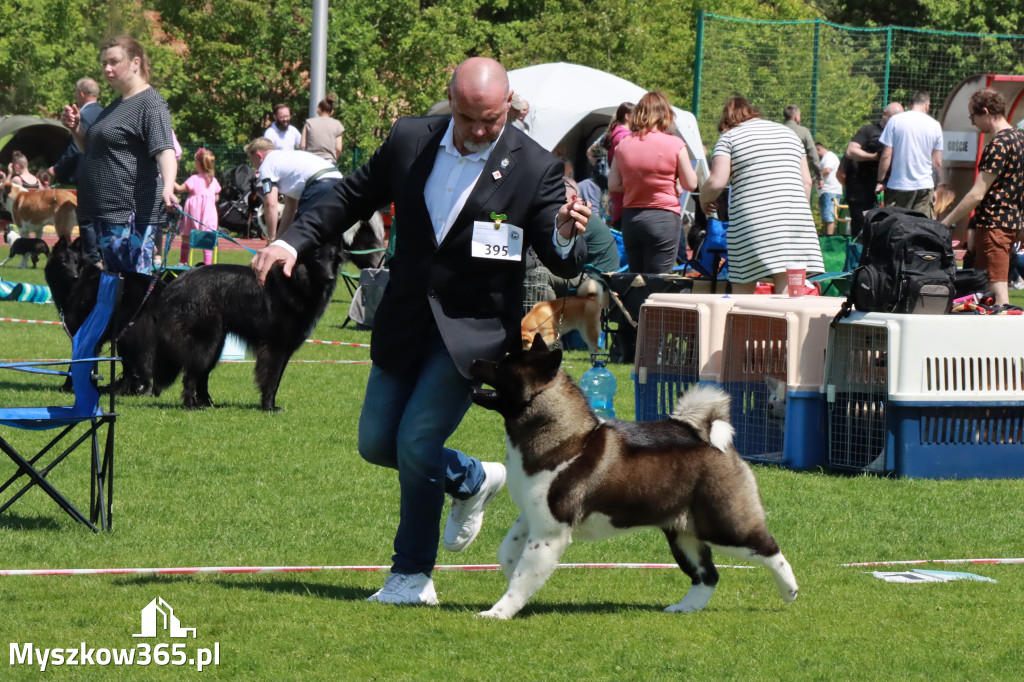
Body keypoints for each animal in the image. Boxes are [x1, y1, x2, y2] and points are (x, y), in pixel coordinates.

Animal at [149, 233, 344, 409]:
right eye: (317, 258)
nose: (330, 278)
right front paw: (268, 406)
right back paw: (191, 405)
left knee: (202, 376)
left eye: (332, 258)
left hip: (216, 345)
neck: (294, 282)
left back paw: (208, 404)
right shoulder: (275, 345)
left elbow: (277, 379)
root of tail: (174, 285)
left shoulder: (285, 348)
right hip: (205, 343)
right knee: (191, 375)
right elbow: (271, 378)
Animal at [468, 331, 794, 618]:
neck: (563, 435)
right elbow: (509, 554)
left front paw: (498, 612)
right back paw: (685, 608)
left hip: (723, 525)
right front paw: (510, 573)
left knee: (769, 550)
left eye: (501, 366)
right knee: (708, 576)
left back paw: (790, 590)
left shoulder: (550, 531)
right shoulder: (531, 516)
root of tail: (710, 439)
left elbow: (523, 576)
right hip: (683, 535)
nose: (473, 361)